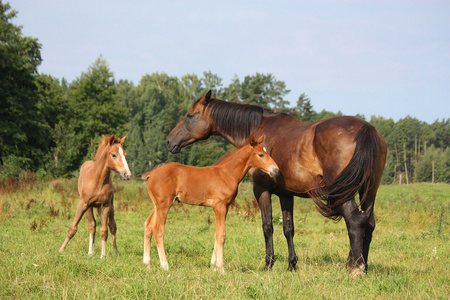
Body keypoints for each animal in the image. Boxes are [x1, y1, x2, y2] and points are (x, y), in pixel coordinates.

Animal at [142, 135, 280, 274]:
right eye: (261, 154)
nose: (276, 171)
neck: (227, 174)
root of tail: (152, 174)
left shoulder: (225, 207)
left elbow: (216, 233)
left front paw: (213, 265)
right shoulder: (219, 206)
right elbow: (221, 235)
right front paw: (221, 268)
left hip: (157, 205)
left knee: (148, 225)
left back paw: (147, 263)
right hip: (164, 205)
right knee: (158, 230)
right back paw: (164, 265)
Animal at [165, 90, 386, 278]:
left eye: (189, 115)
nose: (168, 141)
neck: (258, 129)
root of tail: (366, 129)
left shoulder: (261, 190)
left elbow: (267, 226)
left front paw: (268, 264)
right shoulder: (286, 194)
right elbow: (288, 228)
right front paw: (291, 265)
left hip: (345, 193)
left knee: (355, 221)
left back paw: (355, 268)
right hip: (369, 191)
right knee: (368, 223)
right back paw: (362, 266)